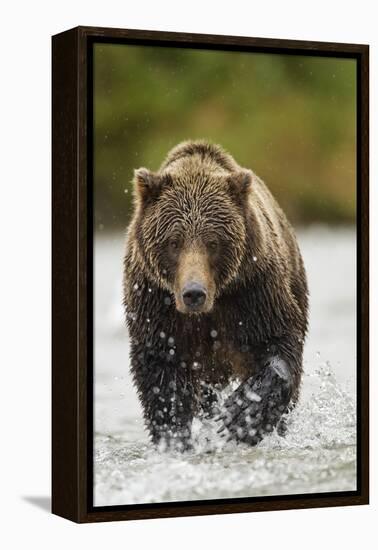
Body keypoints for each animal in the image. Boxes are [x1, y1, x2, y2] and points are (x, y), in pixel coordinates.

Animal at [122, 141, 308, 452]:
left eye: (213, 242)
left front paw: (243, 415)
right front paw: (173, 436)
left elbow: (278, 341)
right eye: (174, 242)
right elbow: (162, 373)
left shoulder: (252, 290)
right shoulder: (156, 303)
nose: (193, 293)